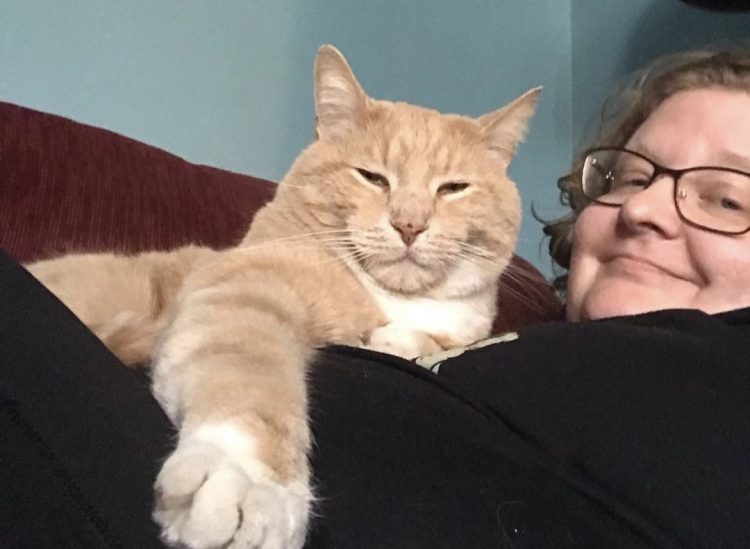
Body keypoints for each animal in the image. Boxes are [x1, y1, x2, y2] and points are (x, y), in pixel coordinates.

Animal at [27, 47, 540, 548]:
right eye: (372, 178)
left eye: (454, 188)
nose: (410, 225)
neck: (395, 297)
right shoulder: (245, 288)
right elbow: (250, 377)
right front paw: (248, 480)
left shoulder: (464, 321)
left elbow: (437, 337)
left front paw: (399, 340)